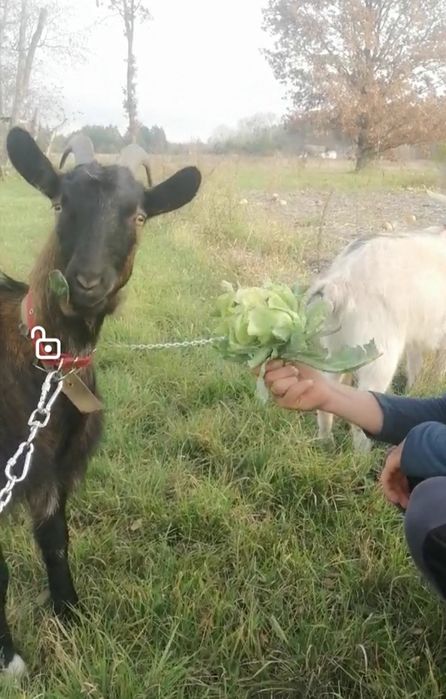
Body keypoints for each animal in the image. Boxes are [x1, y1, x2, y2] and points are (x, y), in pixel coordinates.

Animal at [0, 127, 201, 675]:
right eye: (59, 203)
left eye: (139, 216)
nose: (87, 283)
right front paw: (9, 658)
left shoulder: (53, 471)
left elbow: (56, 542)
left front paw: (71, 616)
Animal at [307, 225, 446, 451]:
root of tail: (340, 282)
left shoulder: (416, 336)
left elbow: (415, 365)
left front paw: (413, 391)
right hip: (379, 357)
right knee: (362, 411)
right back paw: (362, 455)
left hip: (335, 352)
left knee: (326, 395)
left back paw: (326, 442)